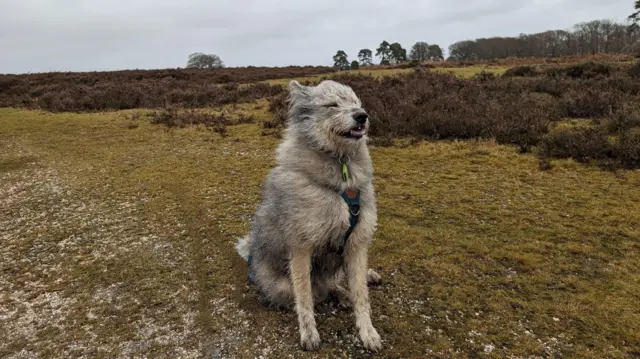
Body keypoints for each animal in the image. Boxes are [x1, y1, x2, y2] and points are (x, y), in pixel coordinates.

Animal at [238, 79, 382, 352]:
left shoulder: (356, 244)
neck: (341, 171)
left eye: (356, 103)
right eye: (332, 105)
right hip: (281, 285)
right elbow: (304, 297)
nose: (362, 116)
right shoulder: (301, 248)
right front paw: (309, 333)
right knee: (317, 289)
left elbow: (362, 296)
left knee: (335, 280)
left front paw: (368, 332)